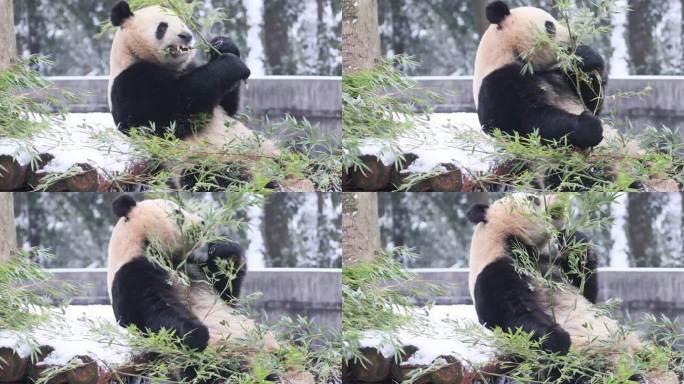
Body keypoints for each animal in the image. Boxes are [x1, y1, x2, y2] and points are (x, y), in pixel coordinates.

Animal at [107, 0, 278, 165]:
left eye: (182, 22)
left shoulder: (187, 66)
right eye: (162, 26)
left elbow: (228, 108)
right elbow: (169, 112)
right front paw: (231, 64)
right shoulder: (130, 82)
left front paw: (223, 45)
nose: (186, 35)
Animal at [107, 194, 278, 364]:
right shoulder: (131, 274)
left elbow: (228, 295)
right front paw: (196, 334)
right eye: (178, 213)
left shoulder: (195, 268)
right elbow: (151, 314)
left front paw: (223, 249)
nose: (202, 222)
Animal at [464, 196, 672, 382]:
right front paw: (559, 339)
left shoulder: (548, 265)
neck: (508, 241)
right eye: (533, 199)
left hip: (639, 346)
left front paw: (573, 239)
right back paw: (636, 377)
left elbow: (586, 290)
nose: (559, 202)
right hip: (590, 359)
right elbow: (510, 316)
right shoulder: (494, 272)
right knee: (588, 373)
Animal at [472, 1, 608, 148]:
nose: (574, 37)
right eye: (549, 25)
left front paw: (585, 57)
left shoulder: (557, 74)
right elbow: (527, 124)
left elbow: (592, 101)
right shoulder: (498, 83)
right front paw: (590, 125)